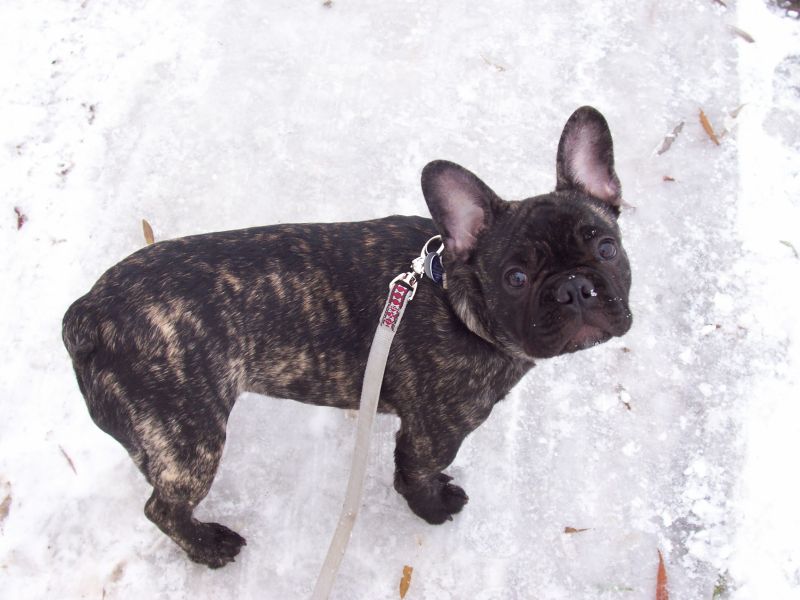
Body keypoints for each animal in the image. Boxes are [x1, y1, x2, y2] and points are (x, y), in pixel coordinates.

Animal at [62, 106, 632, 568]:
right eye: (515, 278)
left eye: (607, 248)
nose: (574, 288)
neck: (454, 294)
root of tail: (88, 313)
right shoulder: (433, 433)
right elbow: (413, 475)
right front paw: (433, 508)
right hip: (190, 440)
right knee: (163, 507)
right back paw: (209, 548)